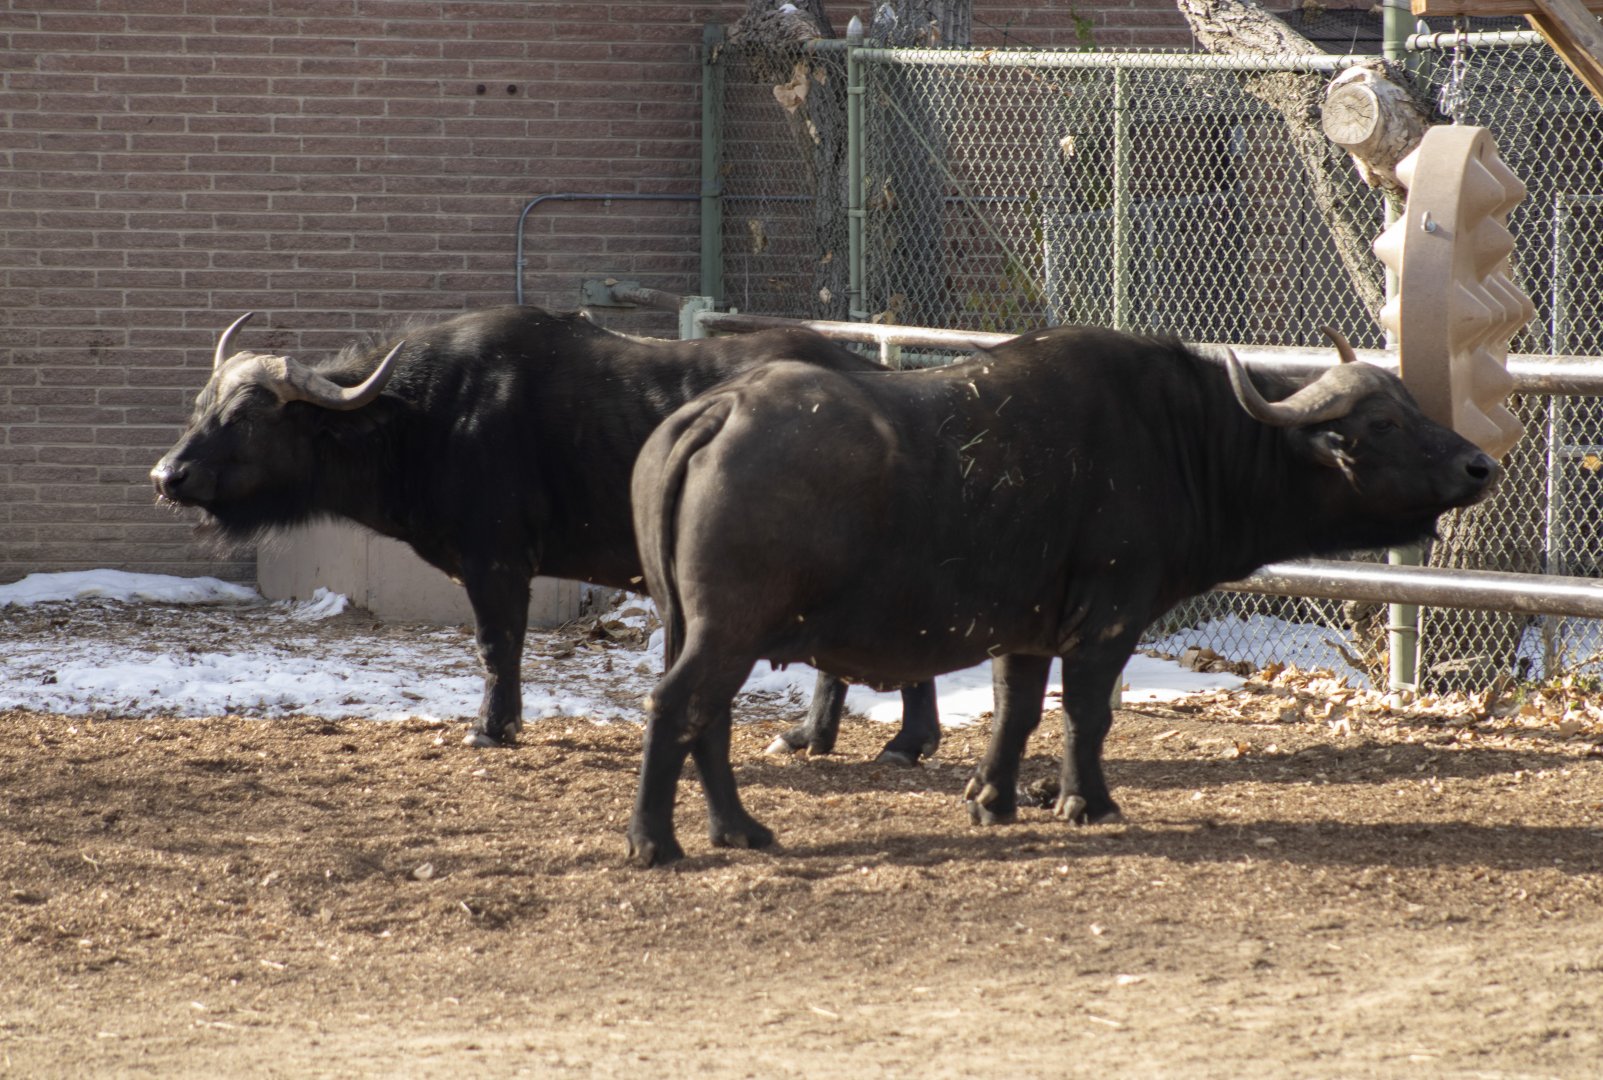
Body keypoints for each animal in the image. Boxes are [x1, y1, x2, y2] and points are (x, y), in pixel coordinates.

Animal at [150, 305, 938, 759]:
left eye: (246, 416)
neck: (428, 414)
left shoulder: (496, 560)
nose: (167, 474)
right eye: (201, 405)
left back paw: (904, 743)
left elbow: (497, 646)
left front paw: (491, 728)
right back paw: (820, 737)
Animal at [626, 326, 1499, 866]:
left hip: (690, 625)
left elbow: (1014, 711)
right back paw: (655, 841)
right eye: (1382, 423)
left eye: (1415, 408)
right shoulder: (1107, 616)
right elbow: (1086, 713)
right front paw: (1087, 802)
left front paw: (992, 798)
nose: (1478, 465)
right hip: (729, 628)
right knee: (677, 707)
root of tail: (718, 409)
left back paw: (737, 830)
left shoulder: (1020, 628)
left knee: (704, 719)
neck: (1179, 439)